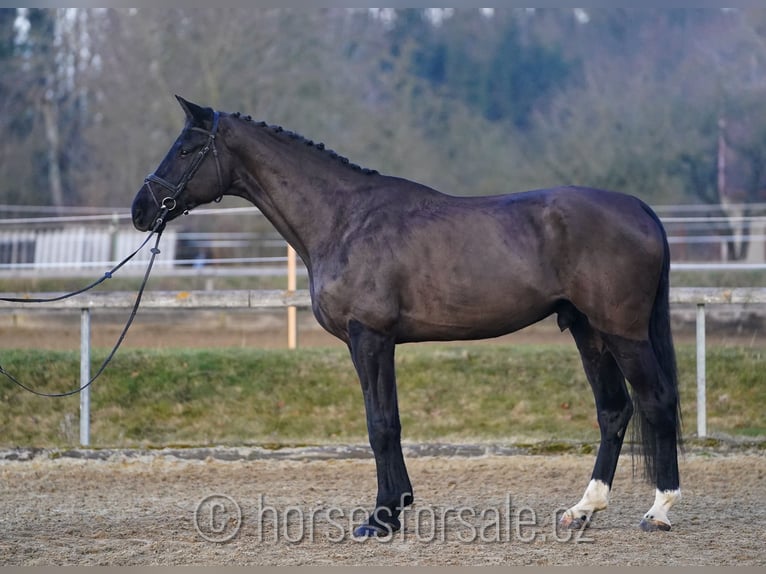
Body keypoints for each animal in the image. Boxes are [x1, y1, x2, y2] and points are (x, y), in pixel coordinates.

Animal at [130, 97, 684, 536]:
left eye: (186, 149)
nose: (141, 209)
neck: (344, 220)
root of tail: (640, 209)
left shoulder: (369, 337)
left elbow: (381, 425)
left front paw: (380, 518)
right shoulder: (376, 342)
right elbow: (388, 420)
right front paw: (395, 509)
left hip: (623, 332)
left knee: (656, 401)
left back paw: (659, 511)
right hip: (588, 331)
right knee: (613, 410)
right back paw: (584, 508)